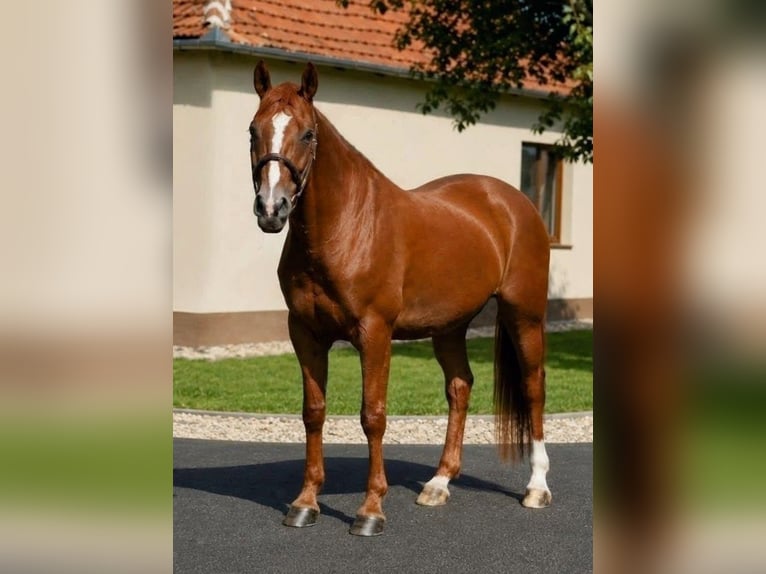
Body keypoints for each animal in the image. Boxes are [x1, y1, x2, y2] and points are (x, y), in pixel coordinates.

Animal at [249, 61, 552, 536]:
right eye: (252, 130)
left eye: (308, 134)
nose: (271, 209)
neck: (345, 226)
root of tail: (513, 201)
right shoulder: (305, 333)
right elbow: (313, 412)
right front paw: (305, 503)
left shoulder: (374, 333)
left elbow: (373, 416)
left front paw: (370, 510)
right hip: (450, 326)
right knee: (460, 387)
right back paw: (439, 483)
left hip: (525, 315)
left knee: (533, 386)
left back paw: (536, 486)